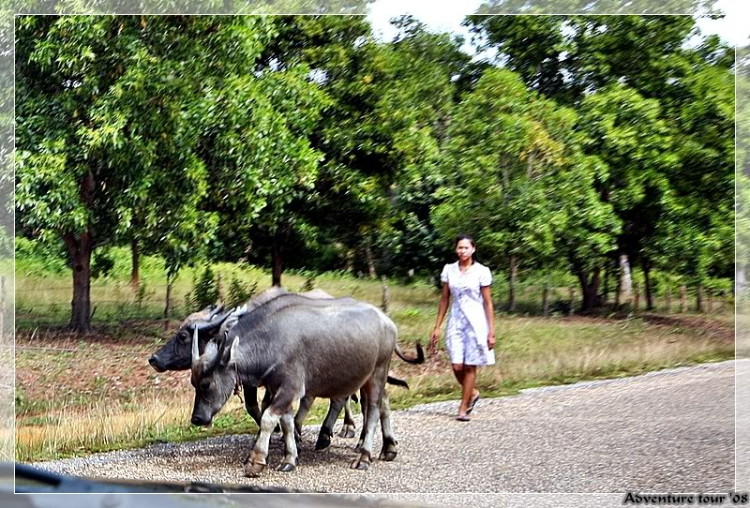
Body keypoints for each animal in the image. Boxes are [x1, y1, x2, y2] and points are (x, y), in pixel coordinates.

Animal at [191, 296, 418, 474]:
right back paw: (387, 448)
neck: (271, 344)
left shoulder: (290, 389)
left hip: (378, 372)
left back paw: (363, 456)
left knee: (372, 410)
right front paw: (290, 458)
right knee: (379, 404)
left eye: (206, 384)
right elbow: (287, 423)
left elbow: (268, 418)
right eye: (193, 383)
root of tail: (387, 321)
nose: (196, 418)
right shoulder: (279, 390)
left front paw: (256, 459)